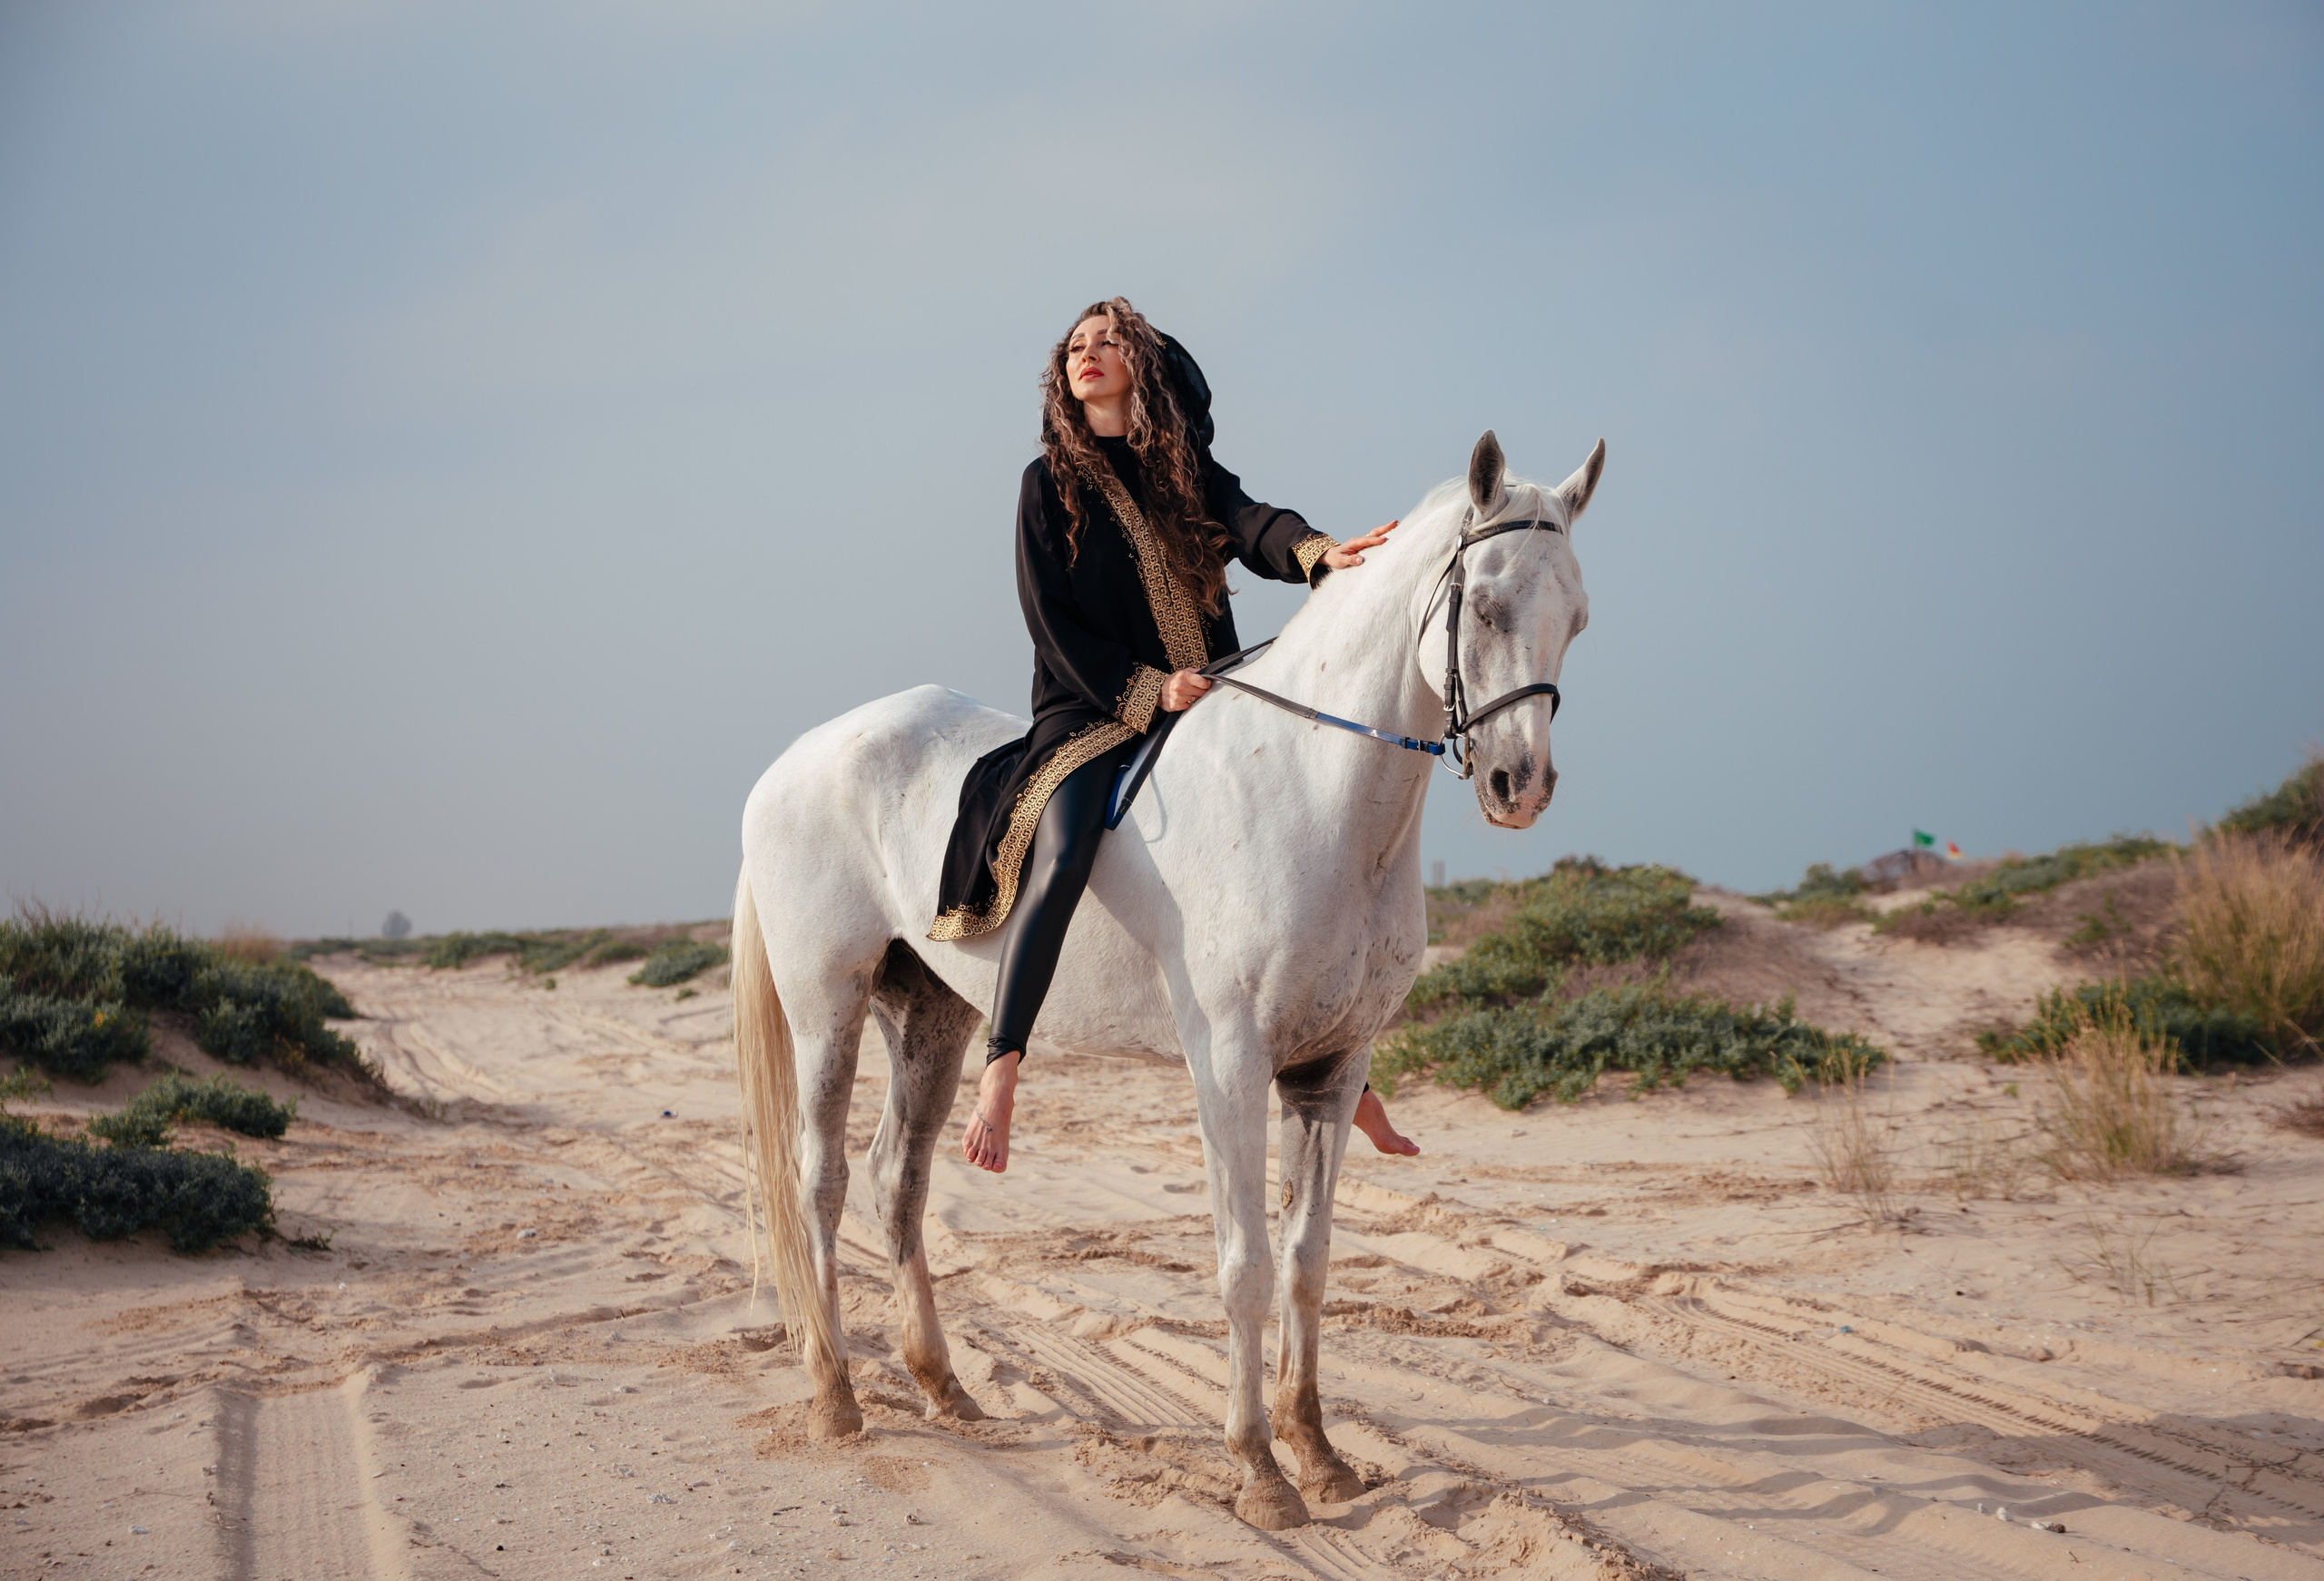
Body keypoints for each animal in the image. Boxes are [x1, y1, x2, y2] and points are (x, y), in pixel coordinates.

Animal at [732, 430, 1604, 1531]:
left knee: (899, 1178)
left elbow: (1309, 1264)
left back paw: (943, 1383)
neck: (1311, 788)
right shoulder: (1229, 1064)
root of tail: (793, 760)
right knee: (821, 1182)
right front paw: (1260, 1469)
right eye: (1484, 606)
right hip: (827, 1007)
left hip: (929, 1014)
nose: (1518, 786)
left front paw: (1319, 1451)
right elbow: (1245, 1267)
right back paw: (836, 1395)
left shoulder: (1331, 1068)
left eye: (1576, 617)